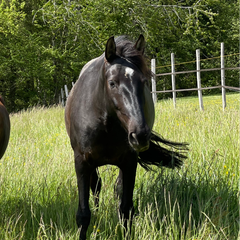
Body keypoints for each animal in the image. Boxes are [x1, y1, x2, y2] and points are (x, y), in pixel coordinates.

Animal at [65, 34, 188, 239]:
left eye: (144, 82)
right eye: (112, 83)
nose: (140, 135)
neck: (105, 126)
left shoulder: (129, 162)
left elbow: (125, 209)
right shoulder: (82, 162)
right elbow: (83, 214)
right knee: (96, 186)